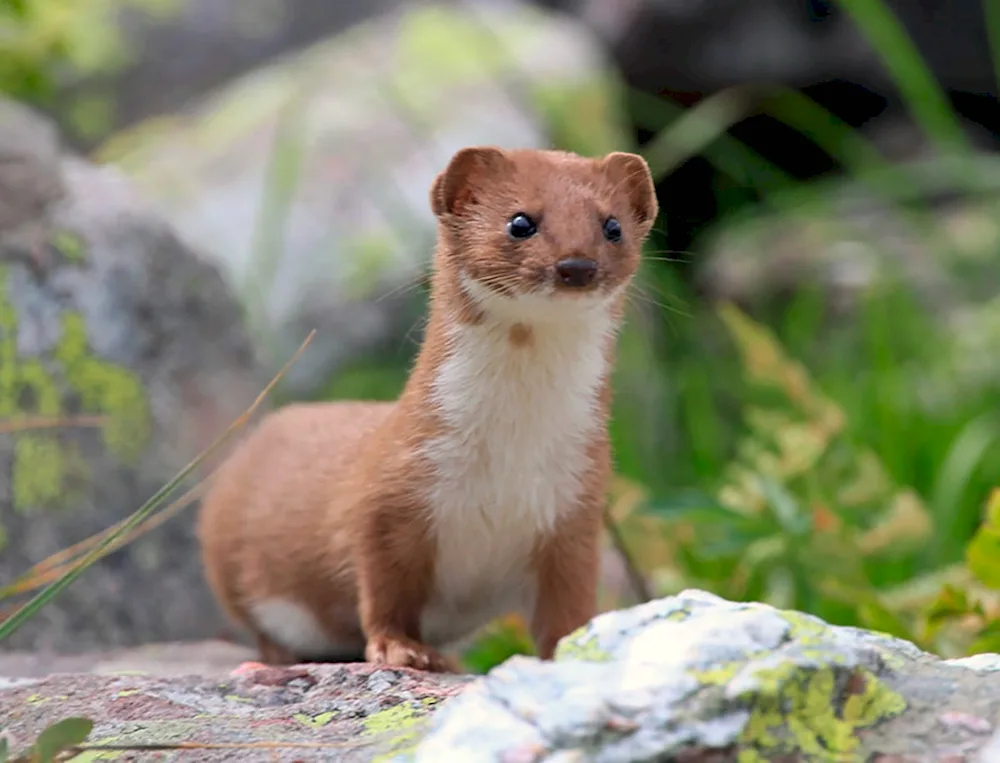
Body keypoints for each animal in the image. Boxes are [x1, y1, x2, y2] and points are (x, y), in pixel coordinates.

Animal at [198, 146, 660, 672]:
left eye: (612, 225)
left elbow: (569, 606)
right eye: (520, 221)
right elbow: (384, 588)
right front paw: (404, 648)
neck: (509, 455)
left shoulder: (576, 509)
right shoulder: (389, 493)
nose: (577, 265)